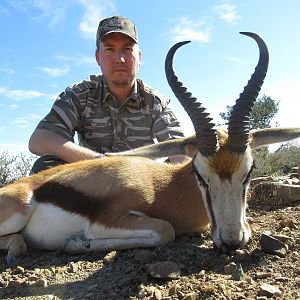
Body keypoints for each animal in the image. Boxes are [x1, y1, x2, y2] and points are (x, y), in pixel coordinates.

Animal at [0, 32, 300, 266]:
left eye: (249, 172)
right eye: (200, 175)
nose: (232, 241)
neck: (163, 187)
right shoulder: (106, 220)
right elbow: (166, 231)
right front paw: (74, 243)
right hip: (19, 210)